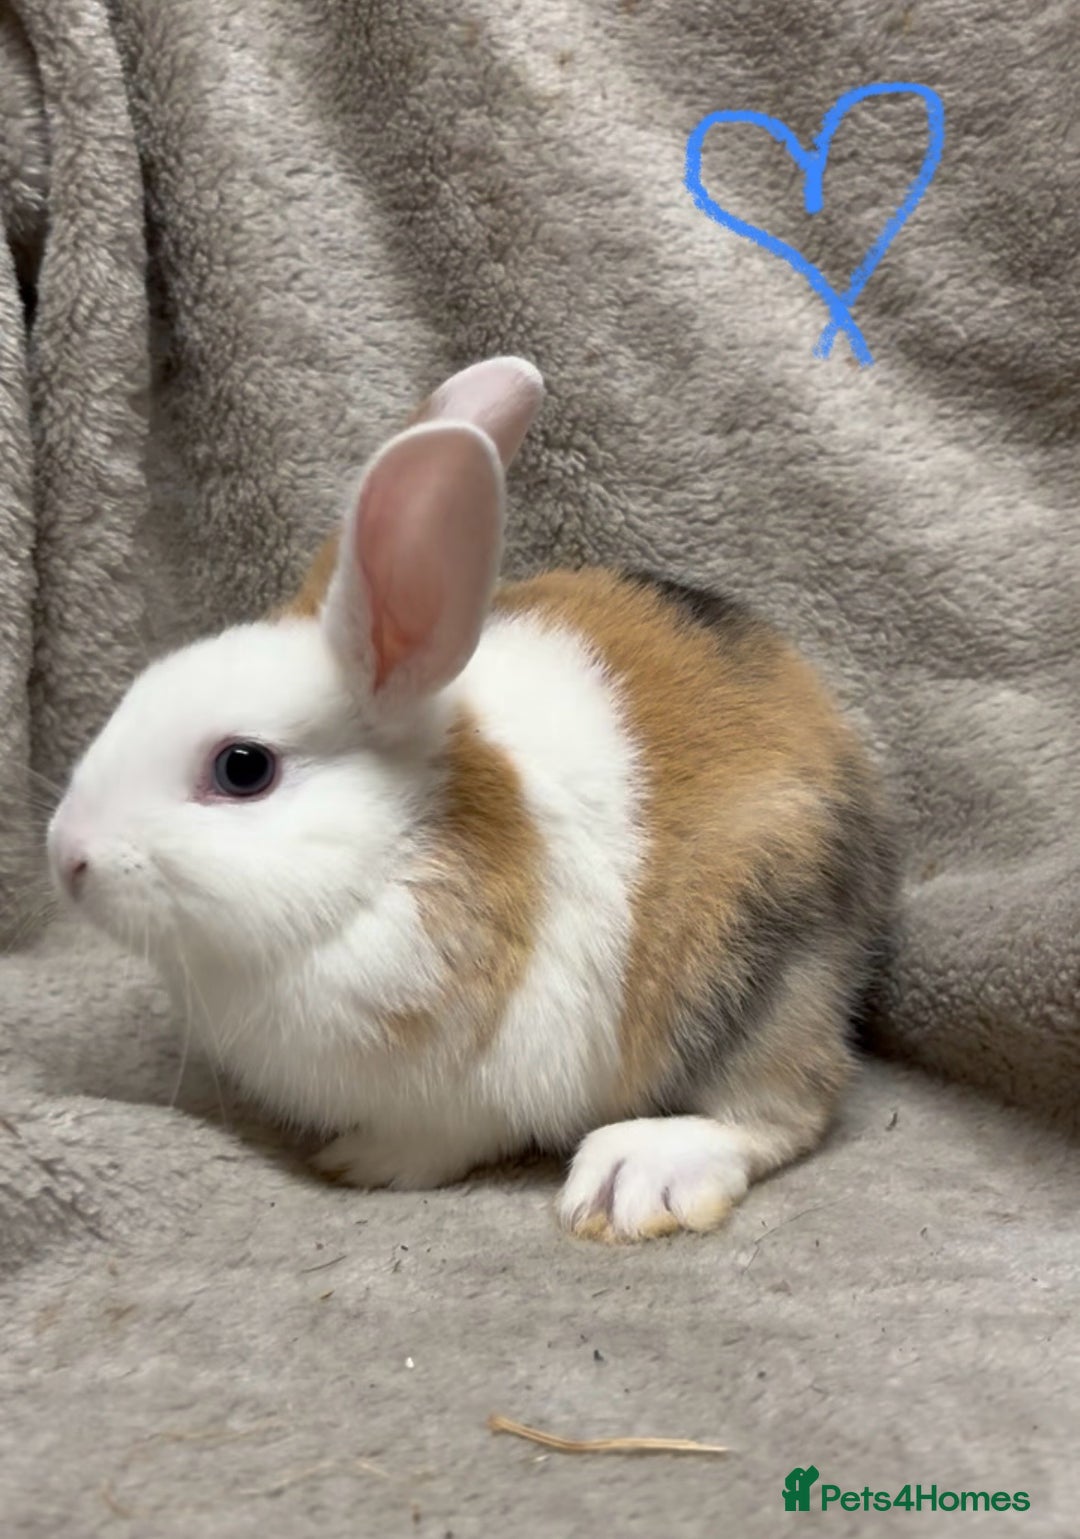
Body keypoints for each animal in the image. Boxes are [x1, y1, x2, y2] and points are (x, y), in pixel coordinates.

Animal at [47, 356, 896, 1242]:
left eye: (242, 768)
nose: (66, 855)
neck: (391, 860)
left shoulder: (476, 1077)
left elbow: (446, 1135)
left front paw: (365, 1161)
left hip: (756, 966)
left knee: (783, 1105)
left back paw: (635, 1179)